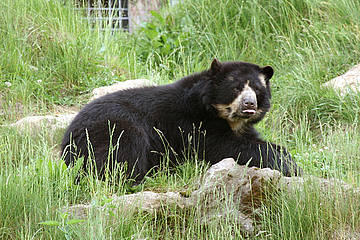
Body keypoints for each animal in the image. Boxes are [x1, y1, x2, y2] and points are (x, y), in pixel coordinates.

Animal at [61, 59, 300, 181]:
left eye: (257, 90)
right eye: (236, 88)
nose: (249, 105)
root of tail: (67, 138)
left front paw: (285, 157)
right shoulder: (193, 124)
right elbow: (226, 147)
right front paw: (290, 166)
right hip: (113, 127)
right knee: (120, 155)